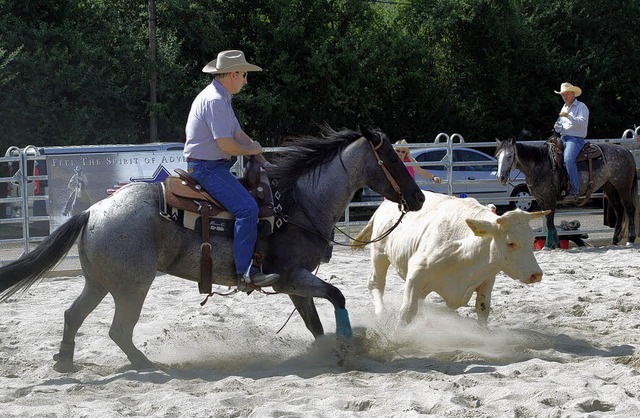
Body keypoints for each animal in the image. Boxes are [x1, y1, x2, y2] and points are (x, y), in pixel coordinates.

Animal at [0, 125, 424, 370]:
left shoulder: (295, 284)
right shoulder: (291, 277)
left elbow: (315, 324)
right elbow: (337, 296)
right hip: (132, 287)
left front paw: (330, 353)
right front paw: (345, 349)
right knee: (118, 330)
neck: (298, 204)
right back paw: (147, 364)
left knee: (73, 315)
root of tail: (91, 212)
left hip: (100, 283)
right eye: (391, 158)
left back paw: (65, 361)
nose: (419, 198)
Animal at [352, 191, 548, 324]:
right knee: (376, 283)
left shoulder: (487, 279)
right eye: (510, 243)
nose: (536, 274)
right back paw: (381, 314)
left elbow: (483, 309)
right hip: (379, 254)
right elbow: (407, 311)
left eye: (532, 239)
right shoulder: (416, 272)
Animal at [496, 131, 636, 248]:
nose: (500, 177)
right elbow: (548, 221)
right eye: (497, 156)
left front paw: (549, 245)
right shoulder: (540, 200)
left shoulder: (550, 198)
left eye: (509, 156)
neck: (542, 165)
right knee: (619, 210)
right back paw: (615, 240)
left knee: (629, 209)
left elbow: (550, 221)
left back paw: (631, 239)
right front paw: (555, 244)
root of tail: (627, 151)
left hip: (623, 187)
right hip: (609, 187)